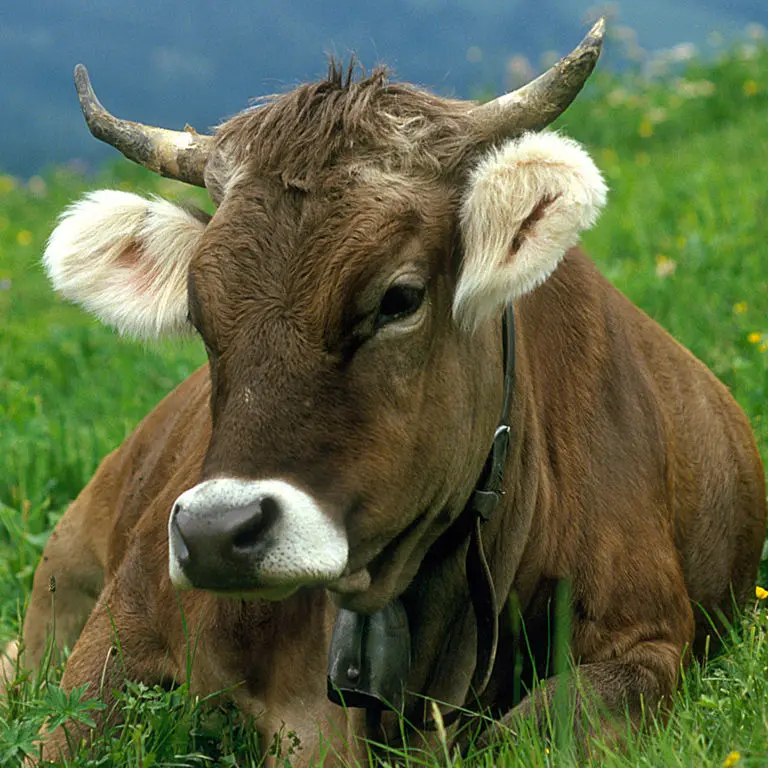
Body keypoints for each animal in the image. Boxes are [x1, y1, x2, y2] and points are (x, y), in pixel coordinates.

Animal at [7, 18, 768, 768]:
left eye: (399, 299)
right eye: (199, 313)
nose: (216, 535)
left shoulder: (648, 640)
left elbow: (534, 730)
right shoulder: (125, 621)